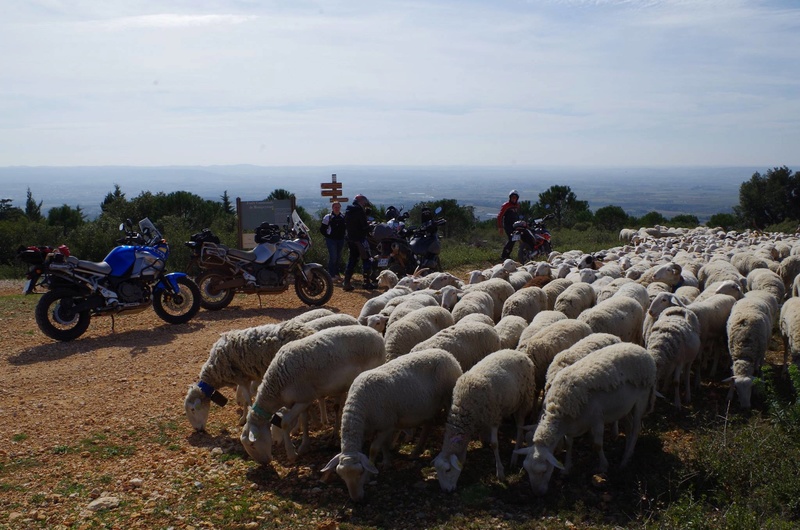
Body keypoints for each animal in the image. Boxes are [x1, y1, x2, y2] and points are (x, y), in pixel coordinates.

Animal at [186, 318, 314, 428]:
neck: (215, 368)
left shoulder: (242, 379)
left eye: (193, 410)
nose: (198, 430)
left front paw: (243, 419)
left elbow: (247, 400)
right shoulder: (247, 377)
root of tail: (309, 331)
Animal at [239, 324, 386, 464]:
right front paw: (304, 446)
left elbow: (285, 423)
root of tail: (378, 335)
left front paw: (291, 453)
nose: (263, 463)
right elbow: (304, 420)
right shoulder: (302, 399)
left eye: (252, 445)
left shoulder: (303, 398)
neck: (277, 387)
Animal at [318, 346, 460, 500]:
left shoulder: (386, 426)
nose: (356, 499)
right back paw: (416, 451)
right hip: (428, 408)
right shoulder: (382, 426)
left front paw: (370, 473)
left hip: (447, 398)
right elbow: (384, 445)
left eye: (360, 472)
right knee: (428, 425)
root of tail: (448, 354)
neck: (359, 407)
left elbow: (374, 449)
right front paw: (386, 462)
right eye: (342, 476)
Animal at [432, 346, 536, 490]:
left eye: (447, 470)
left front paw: (500, 472)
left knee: (520, 428)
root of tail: (518, 352)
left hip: (524, 400)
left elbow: (494, 444)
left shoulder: (494, 416)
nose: (446, 491)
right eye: (437, 471)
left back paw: (514, 456)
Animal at [520, 340, 656, 492]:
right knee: (629, 426)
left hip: (641, 398)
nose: (537, 493)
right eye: (527, 470)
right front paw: (566, 468)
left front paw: (603, 465)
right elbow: (569, 444)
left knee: (636, 428)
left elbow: (597, 445)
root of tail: (639, 348)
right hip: (624, 406)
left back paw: (625, 460)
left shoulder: (597, 420)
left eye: (544, 470)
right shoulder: (572, 426)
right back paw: (627, 451)